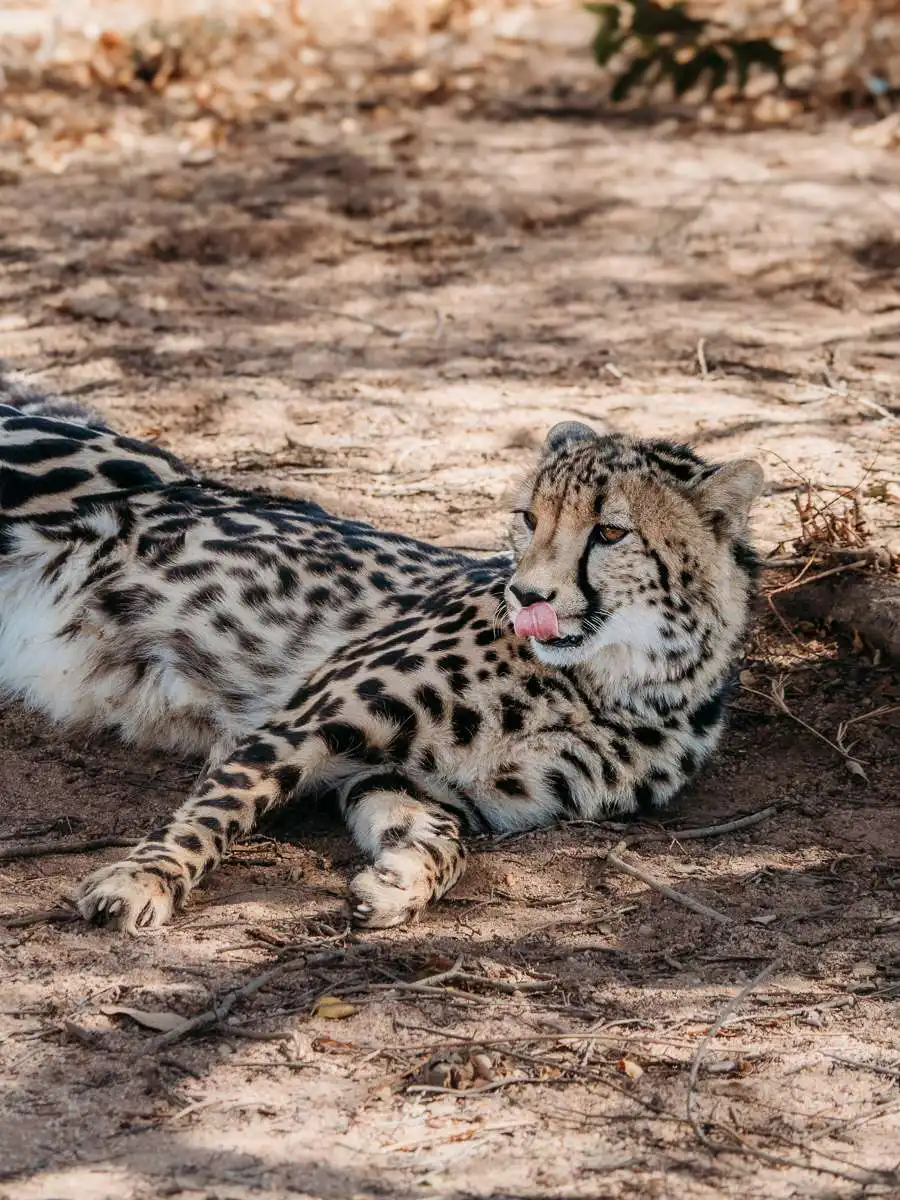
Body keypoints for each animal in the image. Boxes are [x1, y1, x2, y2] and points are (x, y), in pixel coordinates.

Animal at [0, 369, 764, 933]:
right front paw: (143, 878)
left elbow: (443, 837)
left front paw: (400, 881)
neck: (606, 683)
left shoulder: (396, 775)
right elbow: (217, 811)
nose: (525, 594)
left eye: (609, 533)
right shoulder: (299, 721)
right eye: (528, 518)